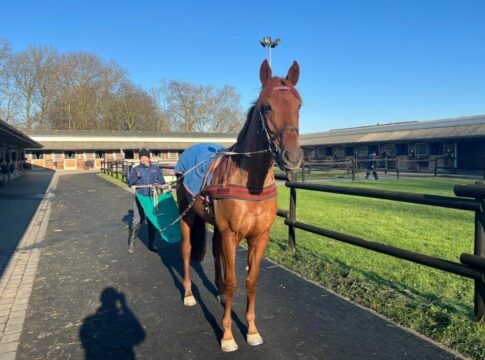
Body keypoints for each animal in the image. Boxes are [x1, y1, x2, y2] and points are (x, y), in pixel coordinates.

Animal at [176, 61, 300, 352]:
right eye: (266, 106)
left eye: (299, 105)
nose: (292, 157)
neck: (250, 183)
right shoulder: (231, 235)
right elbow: (234, 283)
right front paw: (227, 335)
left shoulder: (259, 237)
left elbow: (251, 281)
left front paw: (252, 331)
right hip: (187, 217)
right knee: (186, 252)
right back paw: (188, 293)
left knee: (213, 252)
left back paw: (218, 292)